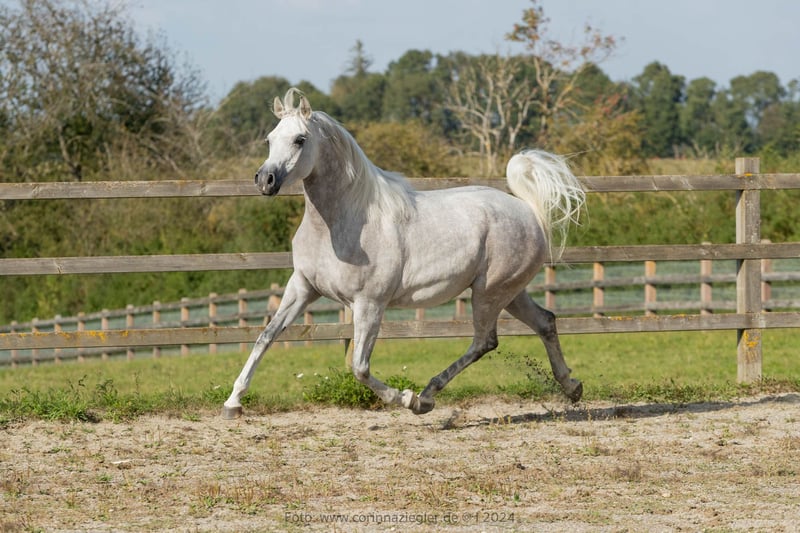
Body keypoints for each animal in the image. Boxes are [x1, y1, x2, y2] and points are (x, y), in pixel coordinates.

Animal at [222, 88, 586, 419]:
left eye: (299, 139)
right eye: (270, 139)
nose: (265, 180)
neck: (342, 223)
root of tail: (529, 211)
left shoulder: (369, 303)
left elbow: (360, 367)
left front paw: (408, 399)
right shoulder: (302, 288)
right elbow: (266, 336)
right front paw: (233, 402)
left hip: (489, 292)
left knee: (485, 340)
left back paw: (427, 396)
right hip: (509, 292)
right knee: (545, 321)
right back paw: (572, 388)